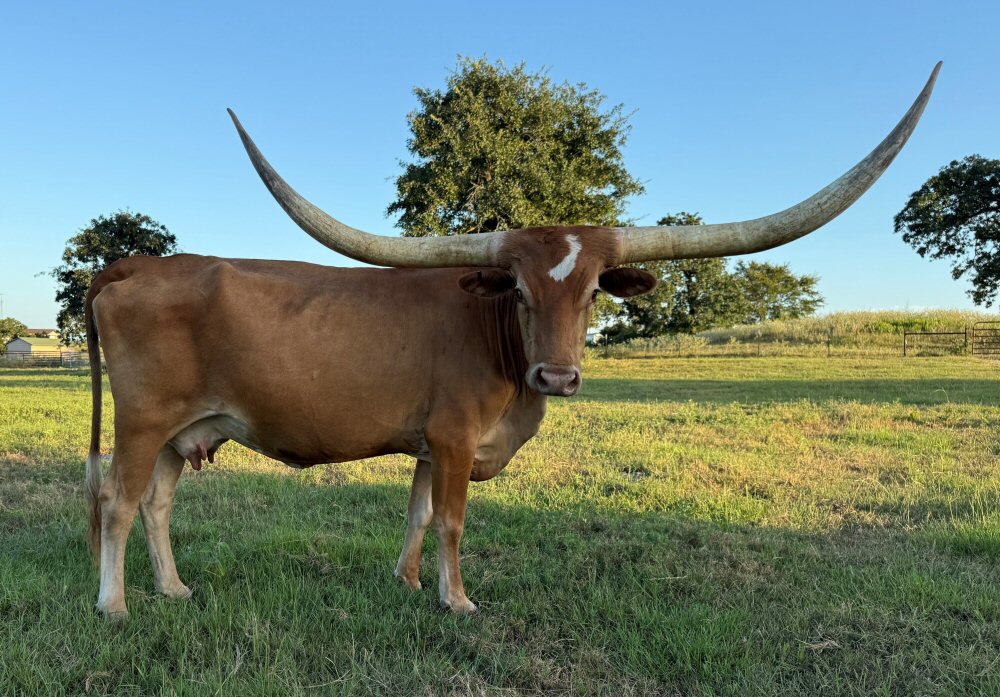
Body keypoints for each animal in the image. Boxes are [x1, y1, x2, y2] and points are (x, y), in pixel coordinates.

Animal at [85, 64, 940, 617]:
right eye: (521, 290)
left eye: (593, 292)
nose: (557, 377)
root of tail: (137, 263)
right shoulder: (456, 438)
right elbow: (453, 520)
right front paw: (457, 600)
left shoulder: (427, 444)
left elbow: (418, 515)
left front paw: (406, 584)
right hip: (141, 422)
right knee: (118, 502)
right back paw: (115, 605)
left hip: (186, 429)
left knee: (157, 503)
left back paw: (173, 589)